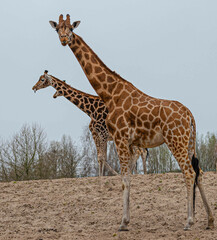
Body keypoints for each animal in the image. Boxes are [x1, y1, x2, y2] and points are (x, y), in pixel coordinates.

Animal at [49, 14, 214, 231]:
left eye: (70, 28)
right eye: (57, 28)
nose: (63, 39)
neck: (110, 94)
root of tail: (190, 115)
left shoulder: (120, 138)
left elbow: (124, 179)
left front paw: (123, 223)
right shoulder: (129, 142)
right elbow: (127, 177)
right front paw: (126, 220)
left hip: (175, 140)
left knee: (188, 172)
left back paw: (189, 221)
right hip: (189, 142)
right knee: (199, 171)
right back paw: (210, 220)